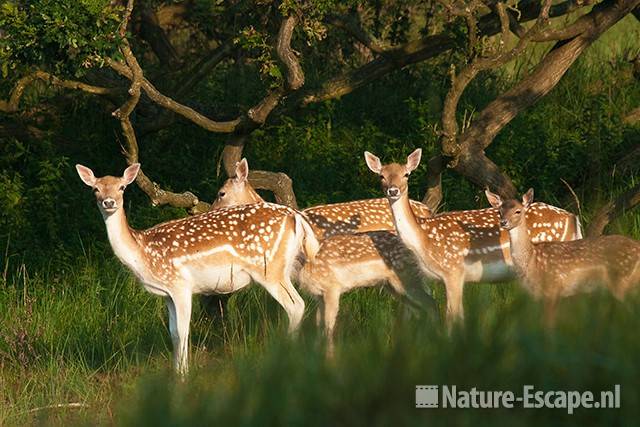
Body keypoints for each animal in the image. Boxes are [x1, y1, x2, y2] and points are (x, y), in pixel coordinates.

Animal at [75, 163, 320, 374]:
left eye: (122, 187)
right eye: (95, 189)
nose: (109, 202)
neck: (143, 252)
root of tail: (296, 216)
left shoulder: (181, 285)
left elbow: (183, 331)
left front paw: (183, 375)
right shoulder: (167, 294)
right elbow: (173, 333)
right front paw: (177, 371)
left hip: (270, 269)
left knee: (296, 305)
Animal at [362, 149, 584, 326]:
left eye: (406, 174)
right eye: (381, 176)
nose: (393, 190)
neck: (423, 240)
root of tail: (573, 219)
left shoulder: (454, 270)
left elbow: (452, 316)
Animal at [484, 189, 640, 326]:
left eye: (518, 211)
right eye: (499, 211)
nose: (503, 222)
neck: (532, 260)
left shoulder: (552, 289)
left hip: (621, 281)